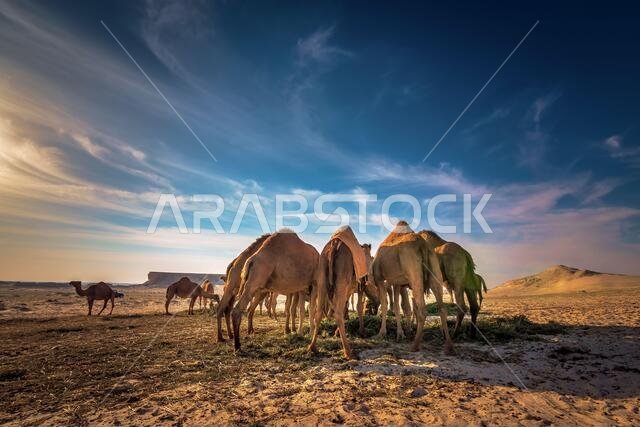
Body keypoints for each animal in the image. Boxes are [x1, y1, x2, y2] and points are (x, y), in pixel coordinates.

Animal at [308, 226, 372, 359]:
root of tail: (334, 244)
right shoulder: (360, 286)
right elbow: (359, 307)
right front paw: (362, 332)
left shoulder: (349, 289)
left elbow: (345, 306)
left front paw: (337, 333)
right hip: (343, 274)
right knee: (337, 313)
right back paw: (349, 352)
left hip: (322, 276)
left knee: (319, 311)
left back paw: (312, 347)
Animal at [369, 221, 454, 354]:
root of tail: (423, 245)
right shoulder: (398, 283)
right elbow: (398, 307)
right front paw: (400, 334)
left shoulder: (379, 279)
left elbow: (385, 305)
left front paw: (381, 333)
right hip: (434, 270)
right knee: (442, 308)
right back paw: (449, 346)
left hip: (414, 272)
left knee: (422, 310)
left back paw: (415, 345)